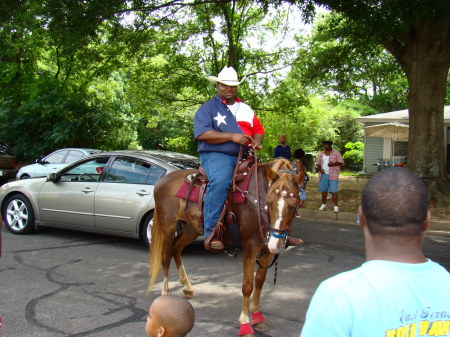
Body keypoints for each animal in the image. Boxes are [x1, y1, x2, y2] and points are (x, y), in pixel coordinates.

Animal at [149, 158, 304, 336]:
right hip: (168, 227)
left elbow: (259, 281)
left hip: (190, 229)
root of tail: (162, 181)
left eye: (293, 206)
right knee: (166, 256)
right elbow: (247, 286)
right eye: (269, 202)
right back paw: (165, 293)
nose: (276, 243)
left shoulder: (267, 250)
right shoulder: (250, 246)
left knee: (176, 248)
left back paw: (188, 288)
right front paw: (245, 323)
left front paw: (257, 316)